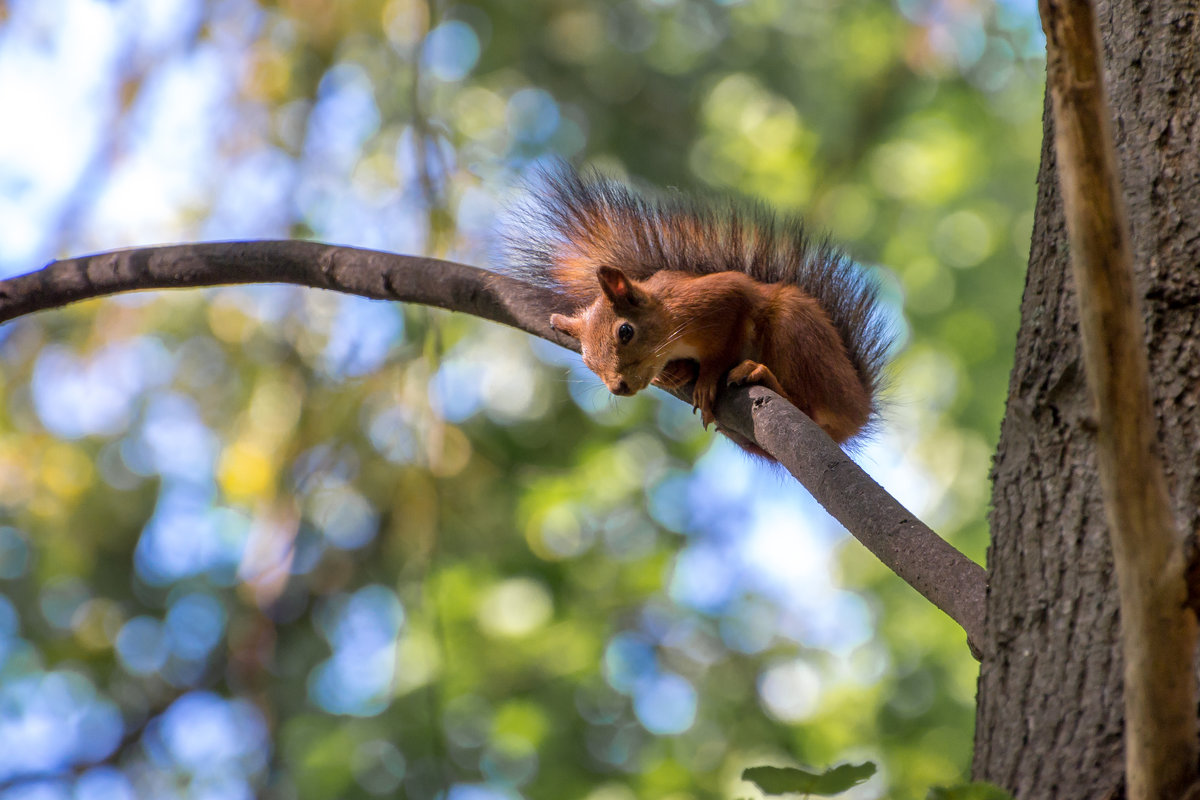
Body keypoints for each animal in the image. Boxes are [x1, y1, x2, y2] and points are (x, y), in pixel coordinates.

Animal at [506, 167, 892, 450]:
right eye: (586, 360)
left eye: (625, 331)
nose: (618, 387)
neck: (672, 330)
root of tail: (858, 408)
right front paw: (675, 372)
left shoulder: (718, 297)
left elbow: (726, 342)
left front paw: (707, 378)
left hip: (797, 330)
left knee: (810, 407)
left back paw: (760, 374)